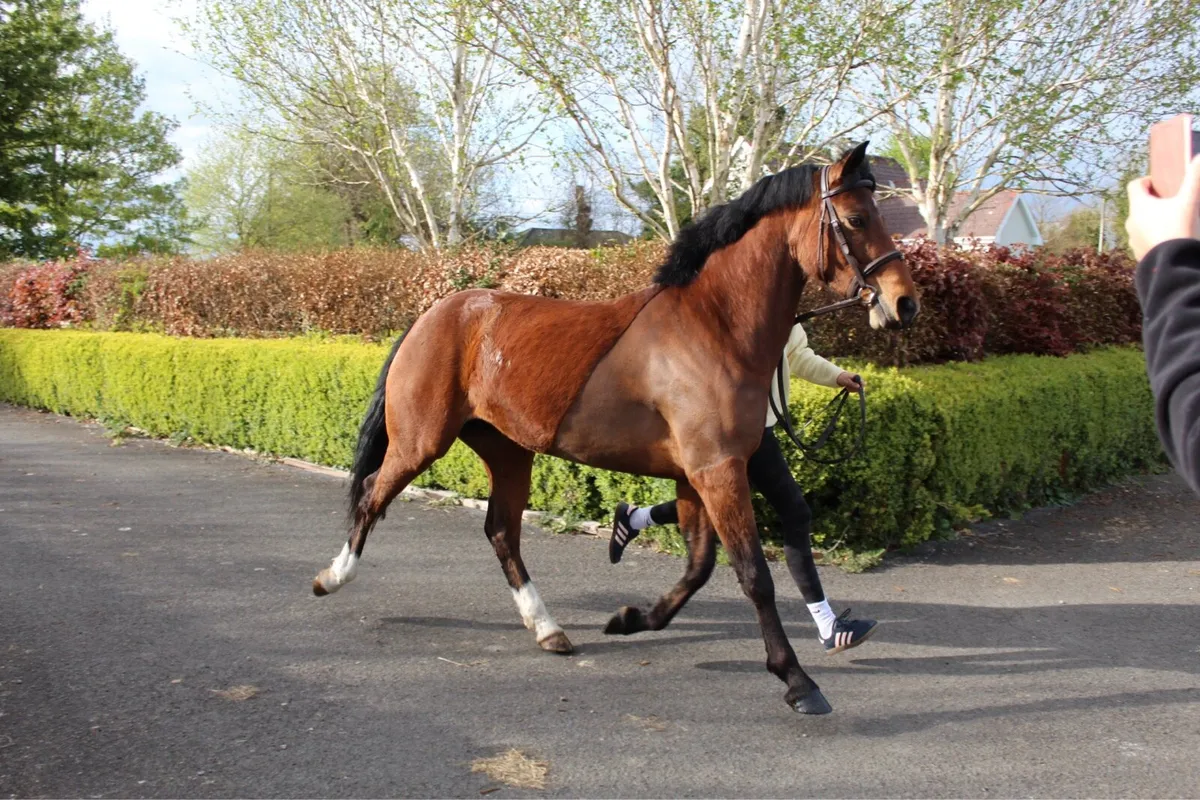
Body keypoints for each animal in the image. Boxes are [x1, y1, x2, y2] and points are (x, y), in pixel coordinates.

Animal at [312, 141, 919, 715]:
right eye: (857, 218)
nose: (904, 303)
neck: (713, 328)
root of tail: (435, 313)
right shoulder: (717, 469)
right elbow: (753, 574)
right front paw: (798, 681)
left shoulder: (699, 474)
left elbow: (700, 565)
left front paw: (630, 618)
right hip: (421, 442)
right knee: (373, 494)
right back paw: (332, 577)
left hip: (508, 451)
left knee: (501, 531)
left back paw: (549, 629)